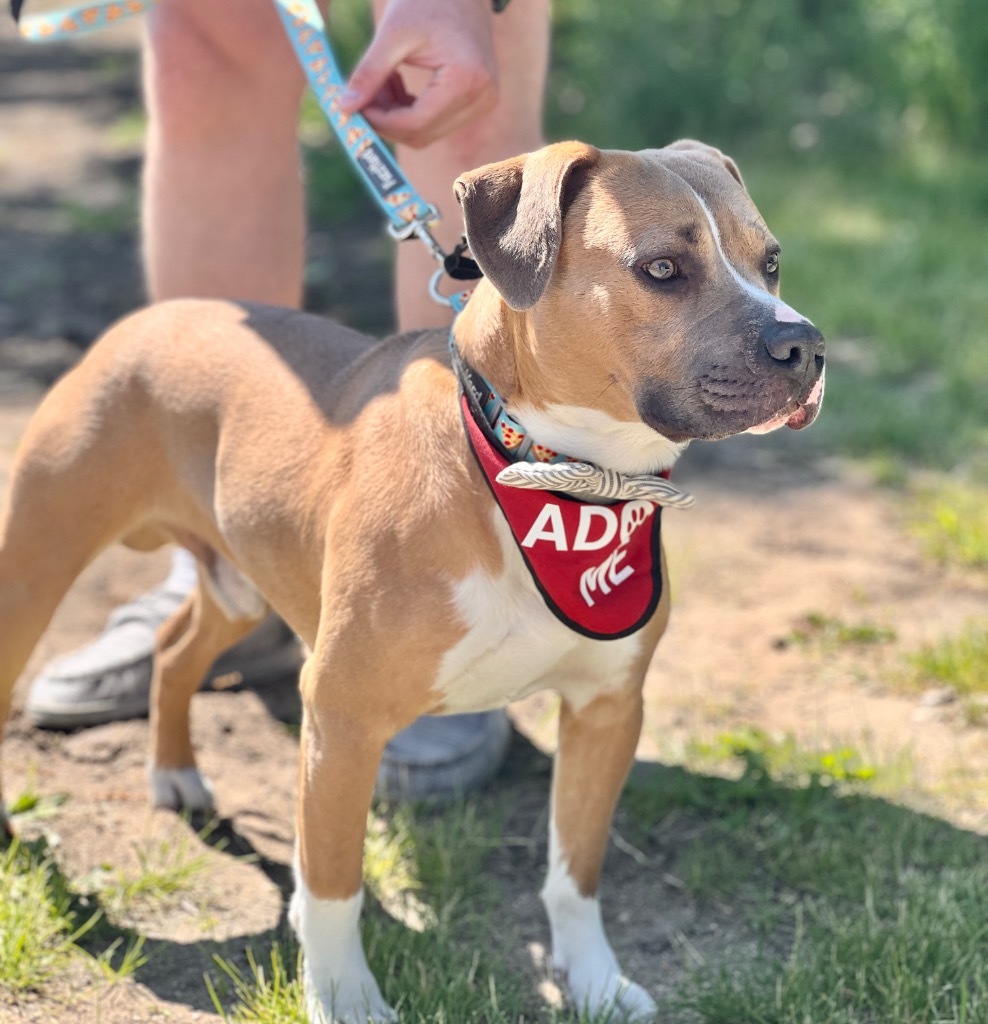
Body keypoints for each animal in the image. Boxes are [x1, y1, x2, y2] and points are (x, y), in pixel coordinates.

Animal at [0, 140, 823, 1019]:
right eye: (662, 268)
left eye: (772, 263)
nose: (806, 346)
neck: (549, 475)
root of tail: (157, 315)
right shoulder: (342, 719)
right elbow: (333, 882)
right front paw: (342, 995)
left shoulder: (606, 709)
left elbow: (576, 871)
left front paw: (595, 979)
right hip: (38, 561)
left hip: (240, 581)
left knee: (175, 645)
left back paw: (177, 773)